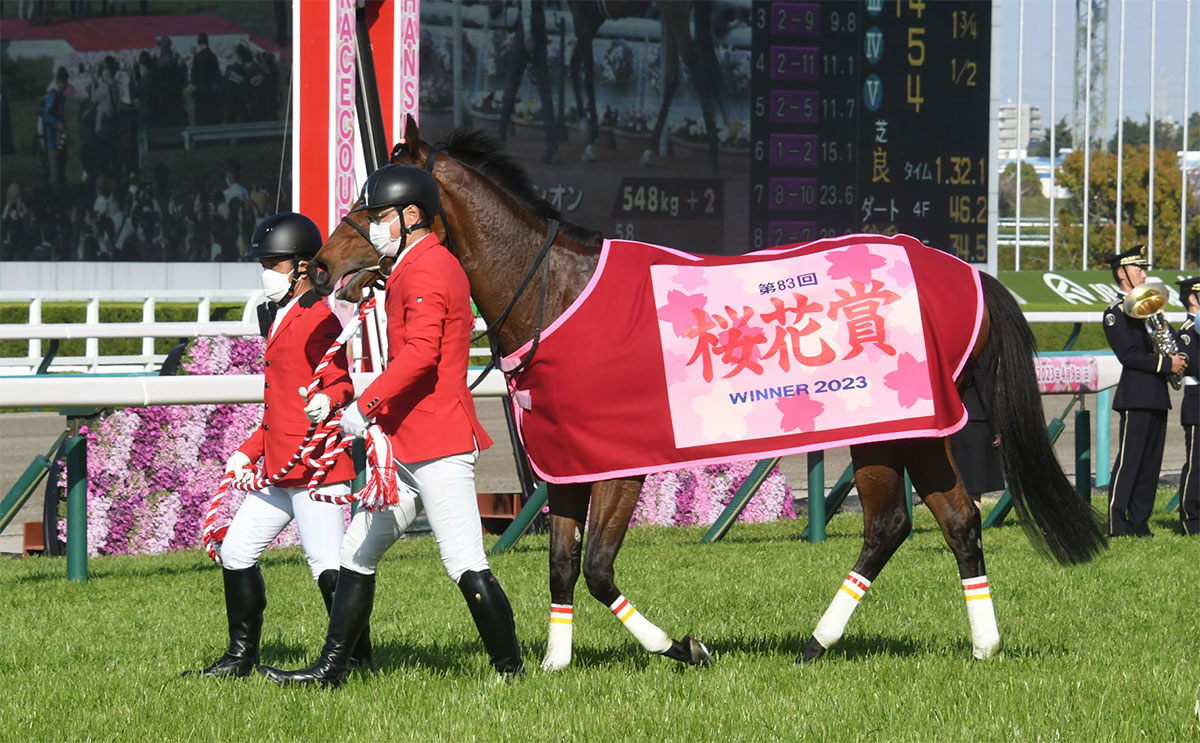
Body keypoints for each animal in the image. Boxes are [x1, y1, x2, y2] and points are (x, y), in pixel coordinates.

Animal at [309, 119, 1104, 672]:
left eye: (373, 201)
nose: (319, 264)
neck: (555, 293)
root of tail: (965, 271)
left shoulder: (620, 465)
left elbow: (597, 568)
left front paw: (680, 647)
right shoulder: (567, 463)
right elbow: (562, 563)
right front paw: (554, 661)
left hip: (896, 428)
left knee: (895, 525)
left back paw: (821, 643)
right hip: (912, 427)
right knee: (947, 521)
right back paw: (970, 644)